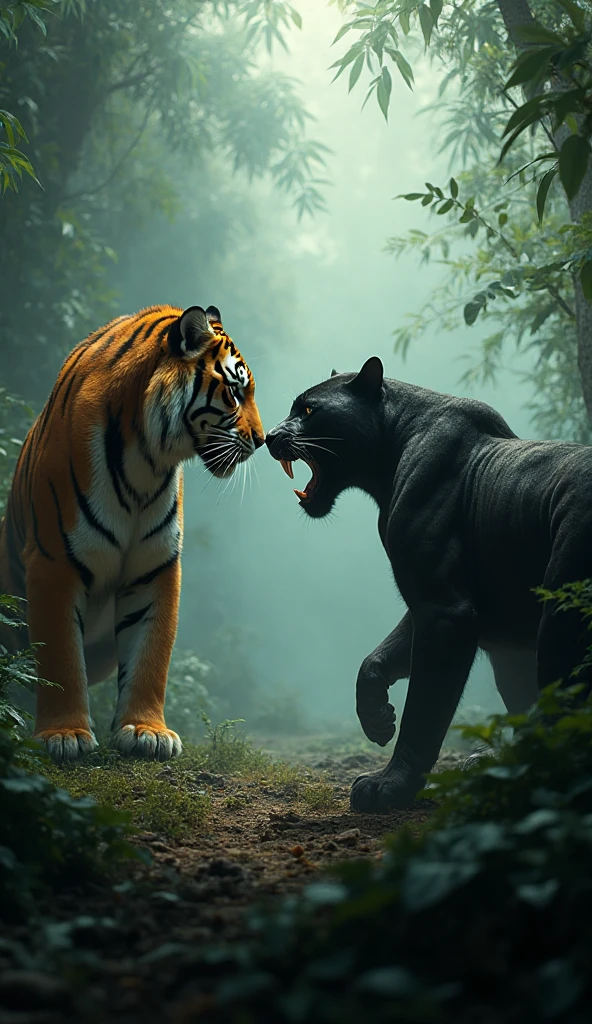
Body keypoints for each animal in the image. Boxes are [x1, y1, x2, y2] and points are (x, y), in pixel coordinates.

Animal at [0, 303, 264, 763]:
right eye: (234, 394)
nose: (264, 440)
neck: (146, 461)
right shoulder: (53, 562)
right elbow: (60, 657)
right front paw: (64, 735)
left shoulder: (155, 565)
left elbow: (151, 653)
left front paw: (146, 732)